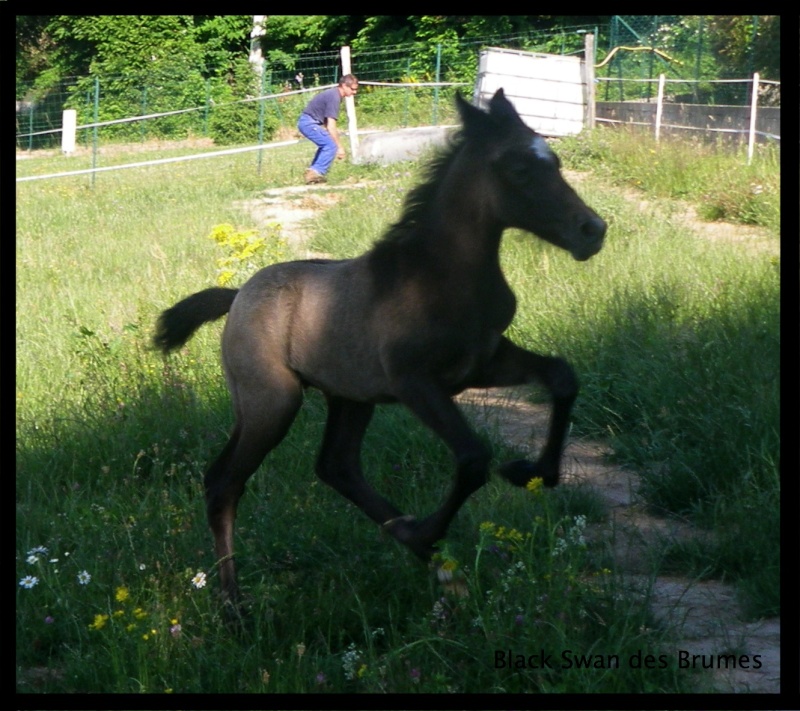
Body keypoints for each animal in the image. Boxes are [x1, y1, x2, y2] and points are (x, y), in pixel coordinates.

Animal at [155, 89, 608, 612]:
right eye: (518, 168)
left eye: (554, 161)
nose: (592, 230)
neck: (442, 277)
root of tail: (238, 295)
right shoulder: (415, 383)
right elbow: (474, 457)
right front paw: (430, 529)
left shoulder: (482, 363)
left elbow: (561, 376)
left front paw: (532, 472)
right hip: (271, 401)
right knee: (224, 483)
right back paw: (235, 606)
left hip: (348, 398)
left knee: (336, 466)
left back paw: (419, 547)